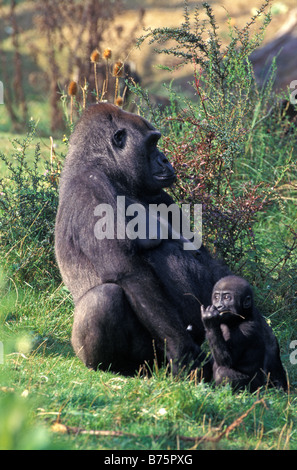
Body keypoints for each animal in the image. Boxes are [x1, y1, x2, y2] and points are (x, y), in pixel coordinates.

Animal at [54, 102, 228, 374]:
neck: (110, 171)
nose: (165, 159)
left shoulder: (160, 195)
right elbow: (127, 271)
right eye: (152, 143)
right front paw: (184, 351)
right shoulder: (90, 189)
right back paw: (118, 367)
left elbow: (205, 256)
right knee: (105, 298)